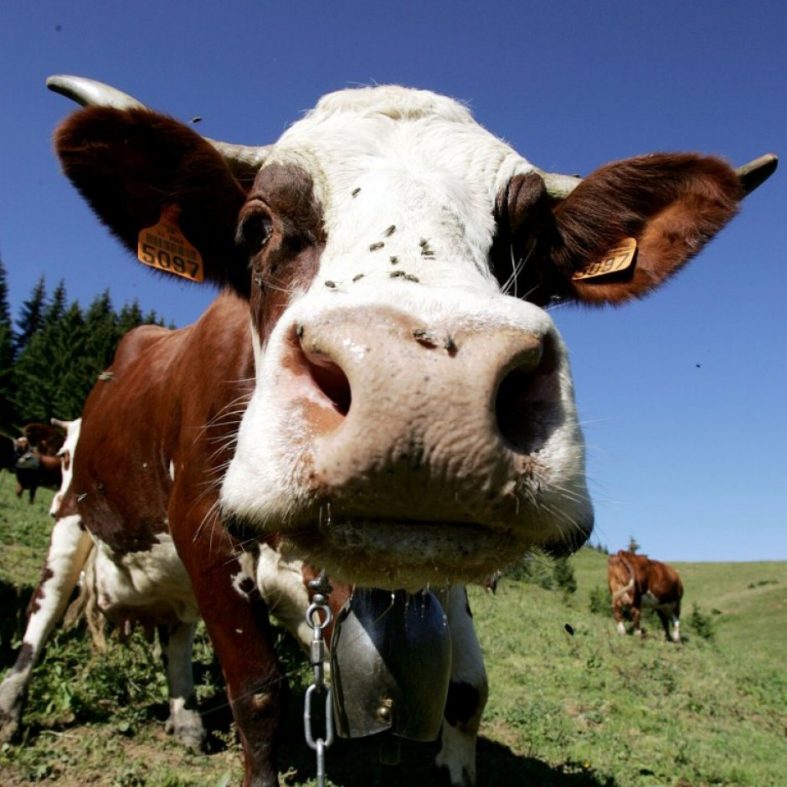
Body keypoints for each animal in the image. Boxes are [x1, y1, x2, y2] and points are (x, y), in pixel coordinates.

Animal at [0, 74, 775, 787]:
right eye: (257, 226)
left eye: (533, 242)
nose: (423, 393)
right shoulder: (201, 523)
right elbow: (260, 693)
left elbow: (467, 691)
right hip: (72, 510)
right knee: (42, 613)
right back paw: (12, 707)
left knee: (173, 627)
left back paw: (186, 718)